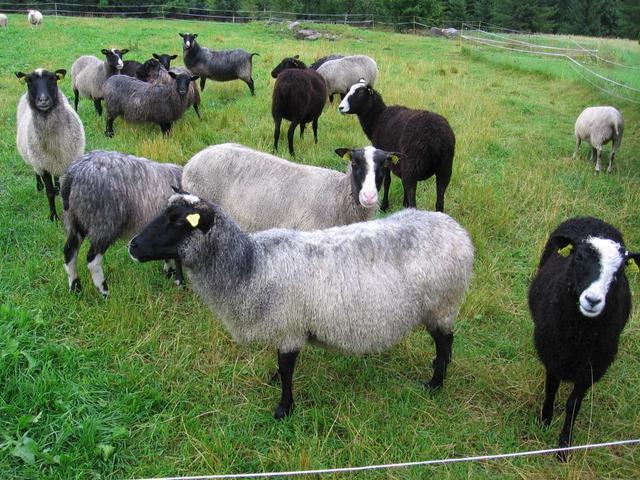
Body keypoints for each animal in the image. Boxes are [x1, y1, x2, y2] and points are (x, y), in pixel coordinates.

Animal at [15, 68, 85, 221]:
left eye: (53, 79)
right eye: (29, 81)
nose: (43, 100)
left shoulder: (67, 161)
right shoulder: (43, 165)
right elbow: (49, 193)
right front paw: (53, 216)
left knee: (57, 177)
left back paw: (57, 187)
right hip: (33, 157)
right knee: (35, 170)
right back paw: (39, 185)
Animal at [61, 150, 183, 296]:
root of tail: (73, 174)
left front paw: (169, 272)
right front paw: (178, 281)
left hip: (75, 219)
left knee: (69, 252)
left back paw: (75, 288)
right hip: (104, 222)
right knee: (93, 260)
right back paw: (104, 292)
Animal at [129, 193, 474, 419]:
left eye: (177, 222)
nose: (132, 246)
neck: (251, 267)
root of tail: (456, 228)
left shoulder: (289, 328)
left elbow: (287, 370)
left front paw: (284, 408)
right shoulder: (280, 326)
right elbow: (280, 367)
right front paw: (273, 381)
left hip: (442, 305)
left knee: (445, 342)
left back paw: (435, 383)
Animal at [339, 80, 455, 212]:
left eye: (360, 94)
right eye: (348, 90)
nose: (340, 108)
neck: (377, 118)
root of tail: (435, 137)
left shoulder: (386, 159)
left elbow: (387, 182)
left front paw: (384, 206)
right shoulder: (400, 163)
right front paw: (404, 204)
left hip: (412, 167)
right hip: (444, 168)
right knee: (440, 202)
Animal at [528, 217, 637, 461]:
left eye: (620, 270)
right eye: (578, 258)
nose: (593, 300)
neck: (579, 335)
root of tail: (593, 219)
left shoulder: (592, 368)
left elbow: (573, 404)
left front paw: (564, 446)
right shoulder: (553, 357)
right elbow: (551, 390)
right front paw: (545, 422)